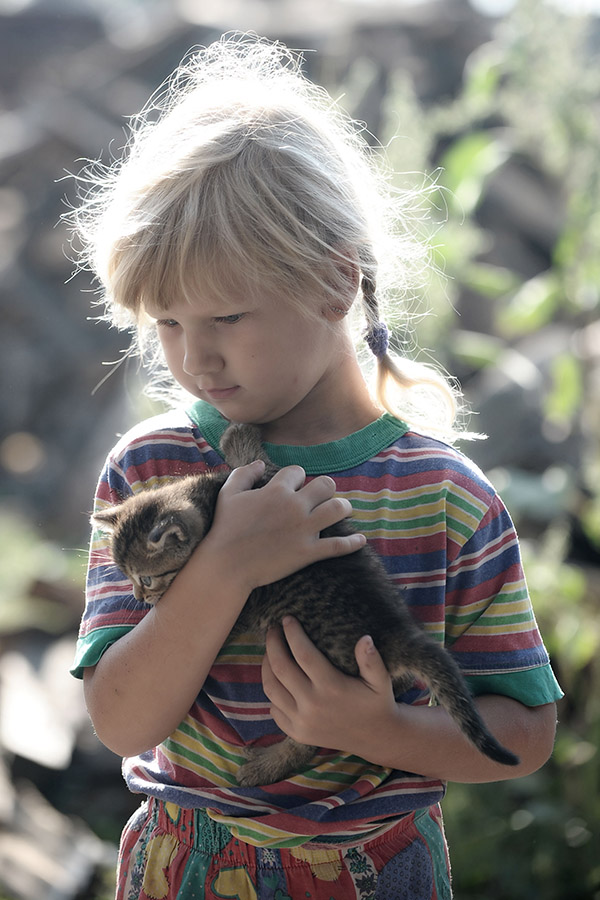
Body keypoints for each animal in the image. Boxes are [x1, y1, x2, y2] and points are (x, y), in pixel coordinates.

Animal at [91, 422, 516, 780]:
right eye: (127, 577)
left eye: (146, 578)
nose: (139, 596)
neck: (212, 506)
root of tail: (392, 631)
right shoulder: (267, 478)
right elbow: (255, 461)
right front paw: (239, 436)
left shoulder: (240, 603)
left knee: (311, 741)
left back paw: (269, 766)